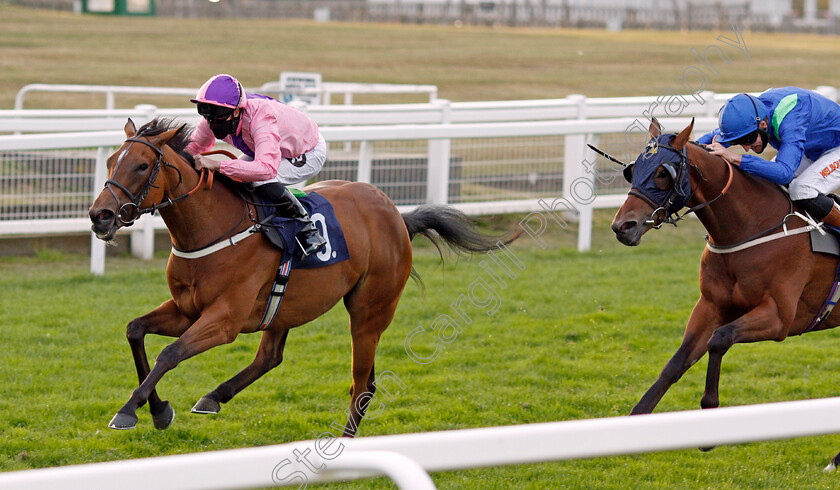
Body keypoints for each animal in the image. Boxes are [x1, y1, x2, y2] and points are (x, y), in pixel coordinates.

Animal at [88, 118, 516, 436]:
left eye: (142, 165)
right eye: (110, 162)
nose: (99, 215)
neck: (212, 230)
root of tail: (397, 215)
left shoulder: (224, 321)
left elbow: (170, 353)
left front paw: (129, 410)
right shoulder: (185, 310)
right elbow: (135, 330)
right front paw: (158, 409)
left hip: (369, 311)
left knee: (363, 383)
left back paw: (342, 443)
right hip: (287, 306)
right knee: (271, 357)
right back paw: (214, 396)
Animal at [608, 120, 840, 466]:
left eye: (663, 173)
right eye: (633, 170)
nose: (623, 226)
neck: (751, 226)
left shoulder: (779, 318)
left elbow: (720, 339)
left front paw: (709, 419)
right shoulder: (709, 306)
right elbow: (676, 363)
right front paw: (635, 424)